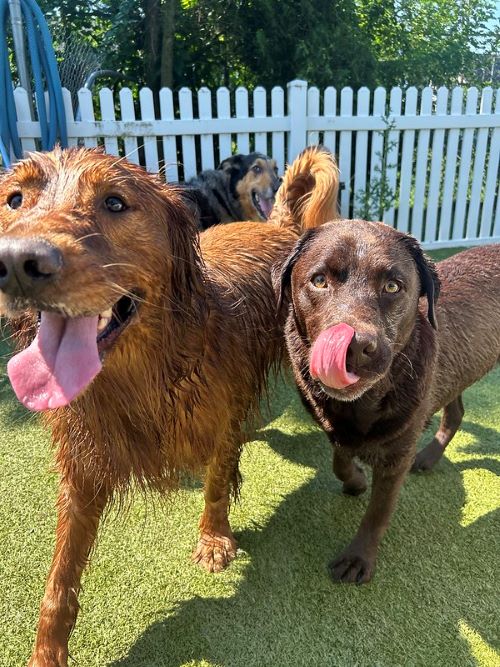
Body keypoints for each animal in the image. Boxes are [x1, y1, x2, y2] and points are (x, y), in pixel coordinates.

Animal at [0, 144, 340, 664]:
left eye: (115, 202)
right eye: (15, 198)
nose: (18, 262)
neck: (145, 373)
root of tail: (276, 224)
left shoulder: (221, 422)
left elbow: (217, 482)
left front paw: (215, 539)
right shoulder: (82, 468)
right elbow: (60, 575)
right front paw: (47, 651)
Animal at [276, 220, 500, 584]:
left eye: (393, 286)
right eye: (319, 280)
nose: (354, 347)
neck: (363, 403)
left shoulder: (398, 454)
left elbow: (378, 512)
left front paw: (358, 559)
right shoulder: (337, 429)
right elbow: (340, 460)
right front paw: (356, 481)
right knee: (456, 413)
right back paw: (429, 457)